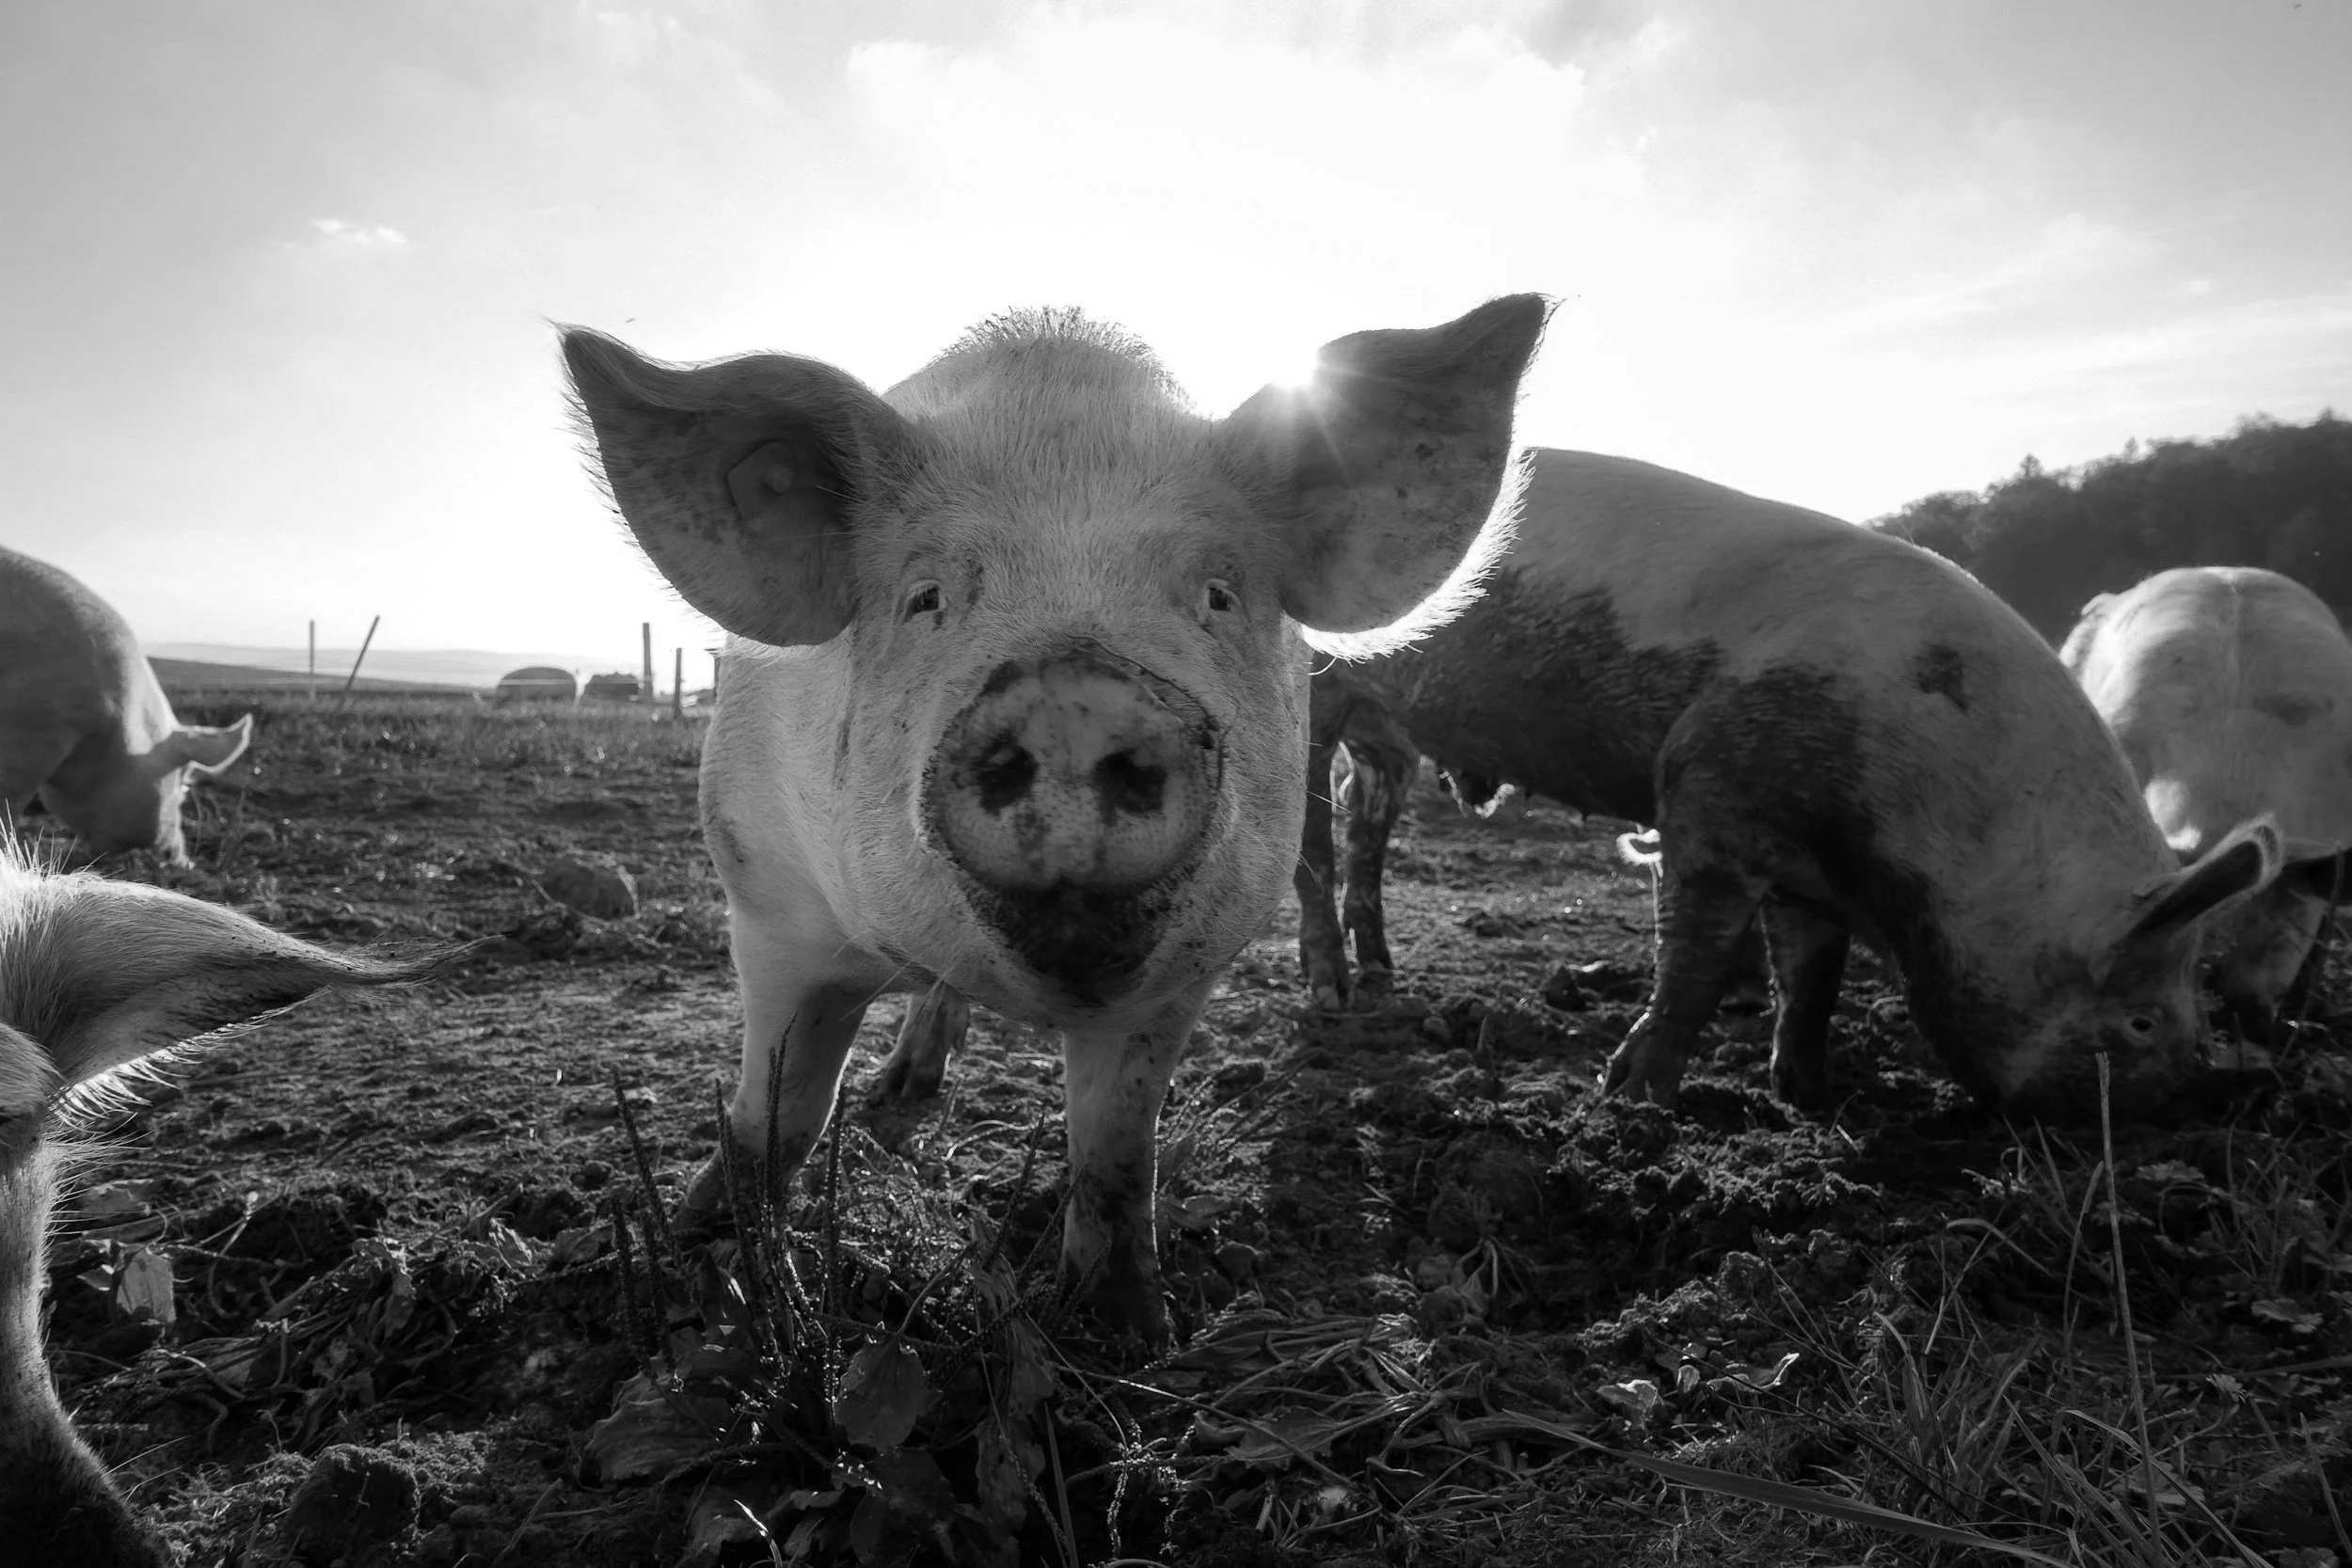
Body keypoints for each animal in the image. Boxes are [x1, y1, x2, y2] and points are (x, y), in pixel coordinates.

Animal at [563, 297, 1548, 1338]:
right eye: (925, 596)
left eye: (1217, 594)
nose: (1075, 694)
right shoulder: (767, 899)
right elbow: (777, 1113)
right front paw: (707, 1267)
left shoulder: (1187, 970)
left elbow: (1116, 1150)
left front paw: (1127, 1330)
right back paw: (898, 1091)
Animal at [1293, 448, 2283, 1118]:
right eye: (2141, 1020)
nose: (2206, 1099)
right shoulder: (1709, 793)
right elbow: (1695, 961)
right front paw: (1633, 1101)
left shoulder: (1814, 874)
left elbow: (1812, 978)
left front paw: (1810, 1097)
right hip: (1314, 689)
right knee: (1309, 838)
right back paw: (1333, 993)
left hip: (1389, 736)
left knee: (1363, 828)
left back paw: (1382, 975)